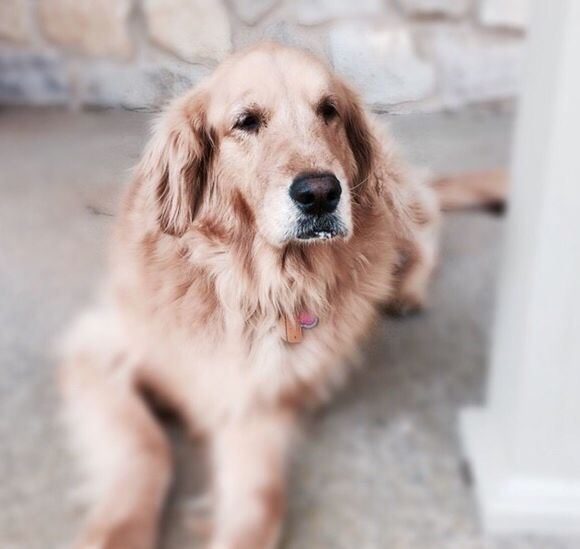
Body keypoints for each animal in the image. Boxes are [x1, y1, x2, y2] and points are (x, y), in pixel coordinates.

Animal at [60, 44, 444, 548]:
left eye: (328, 111)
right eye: (246, 121)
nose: (321, 193)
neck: (253, 285)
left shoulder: (261, 399)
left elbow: (261, 500)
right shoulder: (94, 347)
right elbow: (146, 445)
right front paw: (120, 530)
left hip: (392, 197)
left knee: (430, 226)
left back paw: (409, 289)